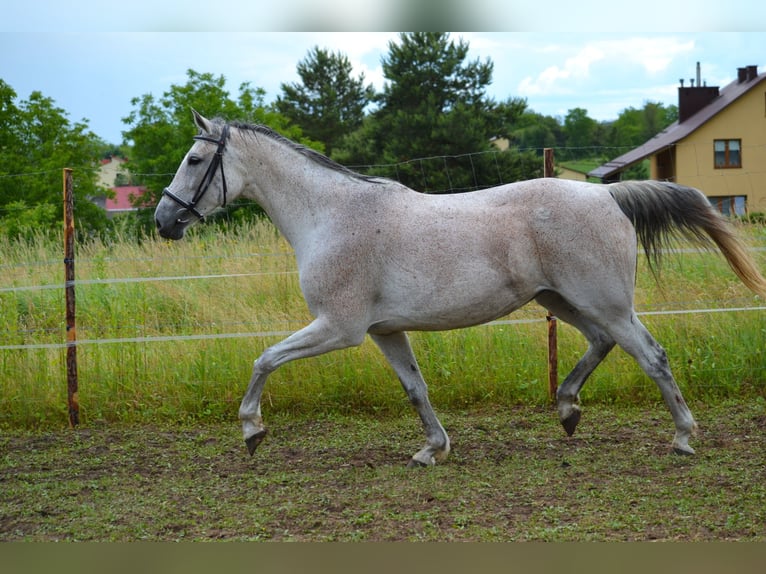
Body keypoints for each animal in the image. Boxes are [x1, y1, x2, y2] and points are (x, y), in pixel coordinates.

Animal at [156, 112, 766, 468]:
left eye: (194, 159)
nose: (164, 221)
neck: (330, 216)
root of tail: (606, 195)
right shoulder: (383, 331)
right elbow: (415, 389)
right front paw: (432, 449)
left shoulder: (339, 328)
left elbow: (264, 358)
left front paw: (252, 430)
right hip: (562, 301)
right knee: (603, 344)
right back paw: (567, 410)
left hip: (605, 302)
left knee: (652, 356)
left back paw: (683, 437)